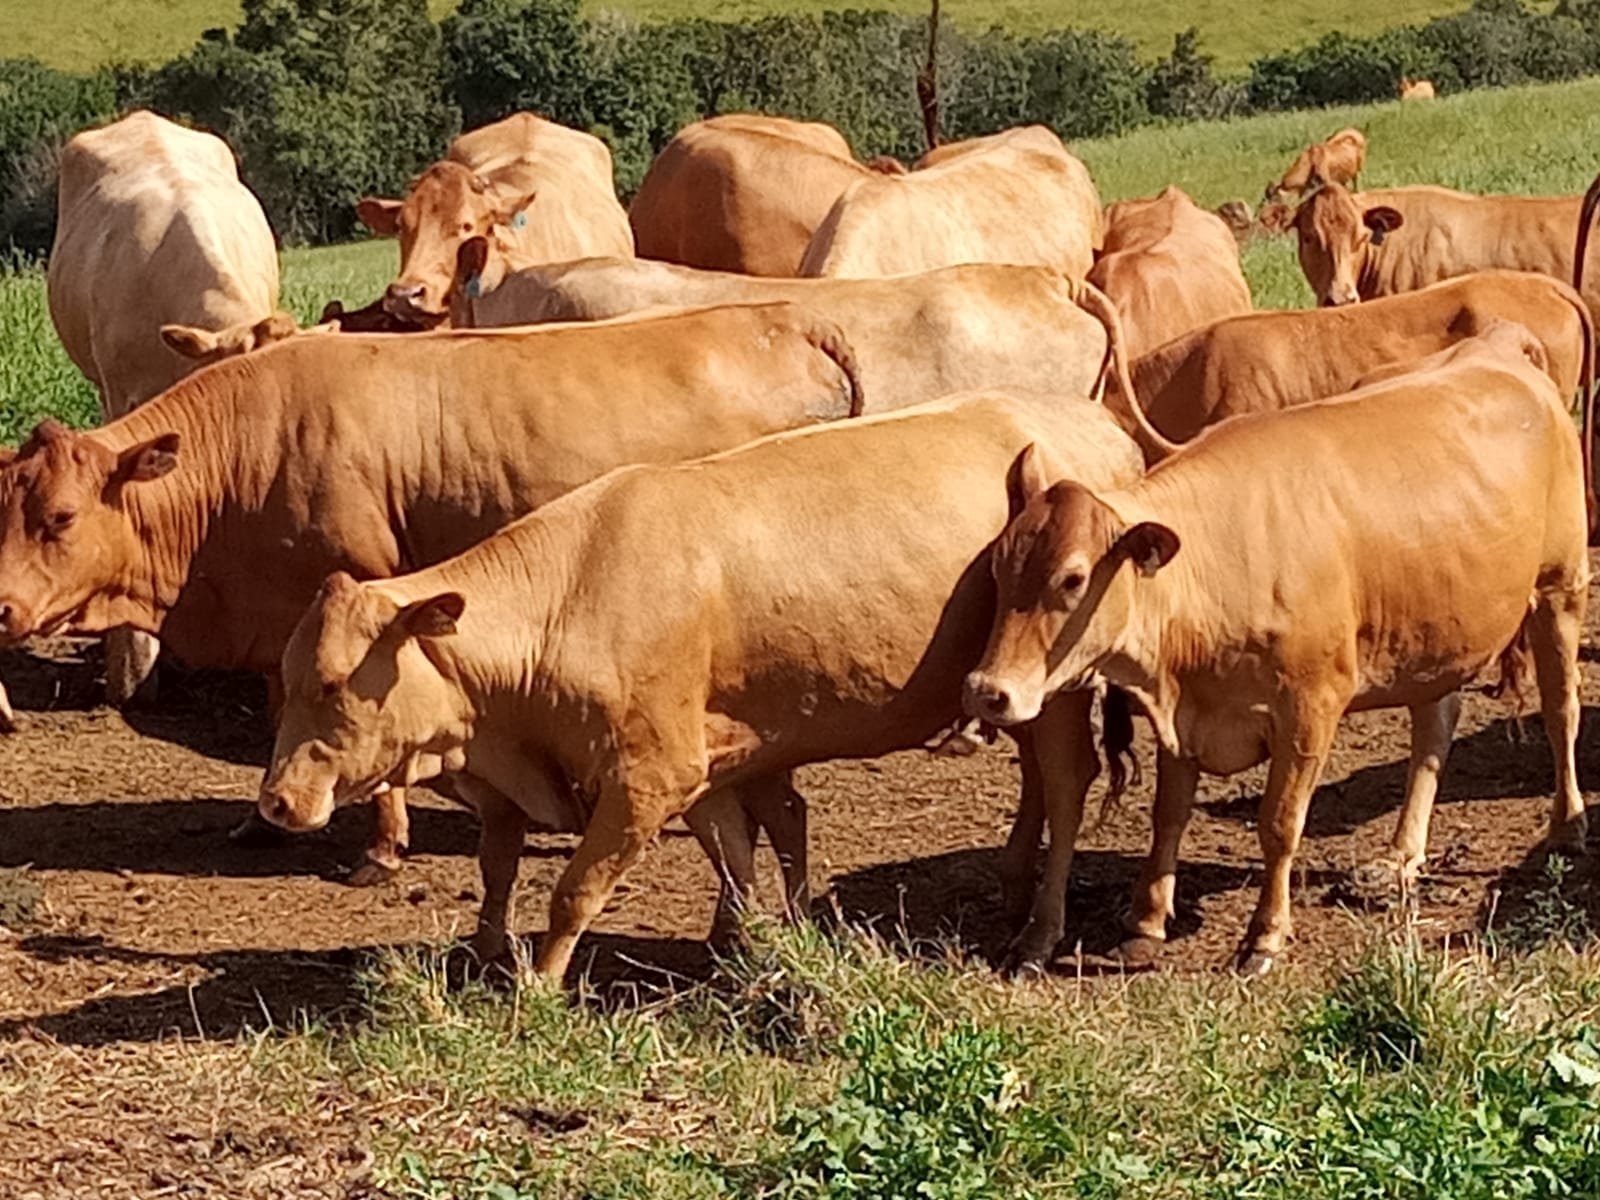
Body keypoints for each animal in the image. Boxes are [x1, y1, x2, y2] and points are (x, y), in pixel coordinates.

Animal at [257, 389, 1144, 980]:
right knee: (1036, 780)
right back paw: (1013, 884)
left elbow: (575, 889)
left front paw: (540, 984)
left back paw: (1039, 932)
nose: (276, 801)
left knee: (1067, 783)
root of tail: (1094, 423)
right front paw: (738, 943)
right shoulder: (706, 759)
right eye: (287, 680)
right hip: (1012, 694)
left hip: (1059, 690)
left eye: (333, 685)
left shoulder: (651, 775)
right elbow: (728, 853)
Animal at [964, 322, 1589, 975]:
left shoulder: (1309, 709)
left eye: (1073, 578)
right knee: (1434, 729)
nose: (987, 691)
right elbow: (1168, 815)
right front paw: (1146, 923)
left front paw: (1263, 935)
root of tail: (1497, 344)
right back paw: (1401, 856)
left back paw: (1566, 826)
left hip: (1560, 587)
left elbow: (1279, 823)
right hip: (1432, 635)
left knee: (1560, 708)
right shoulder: (1185, 714)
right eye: (998, 565)